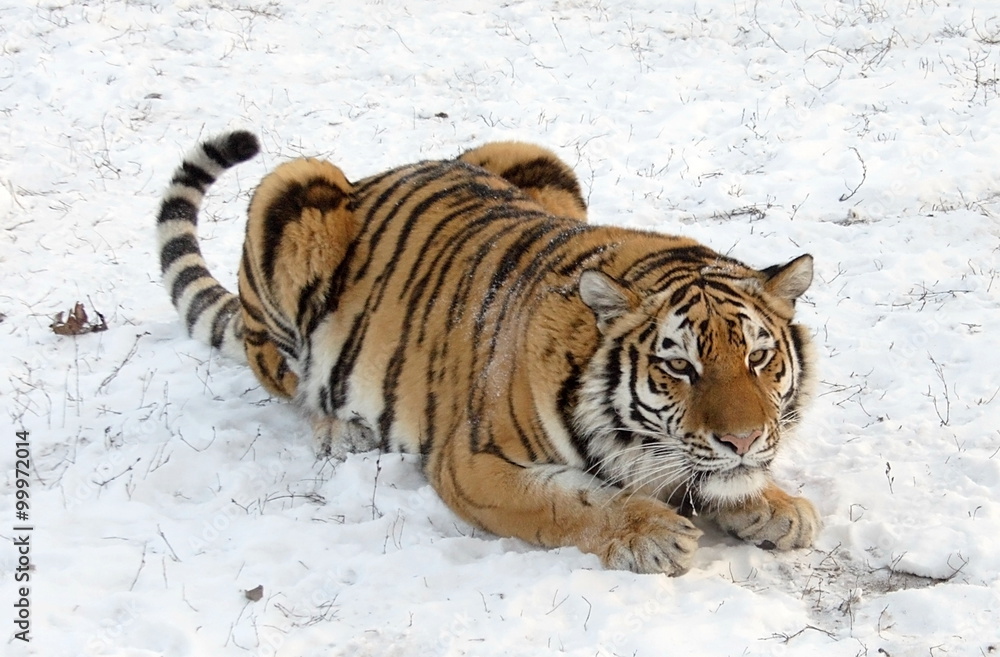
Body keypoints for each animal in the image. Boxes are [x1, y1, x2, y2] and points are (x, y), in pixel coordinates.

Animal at [156, 130, 819, 575]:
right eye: (679, 365)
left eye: (758, 359)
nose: (742, 441)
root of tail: (376, 174)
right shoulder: (474, 461)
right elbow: (572, 502)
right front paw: (651, 533)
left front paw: (778, 506)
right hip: (290, 186)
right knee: (284, 374)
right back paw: (338, 428)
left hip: (532, 154)